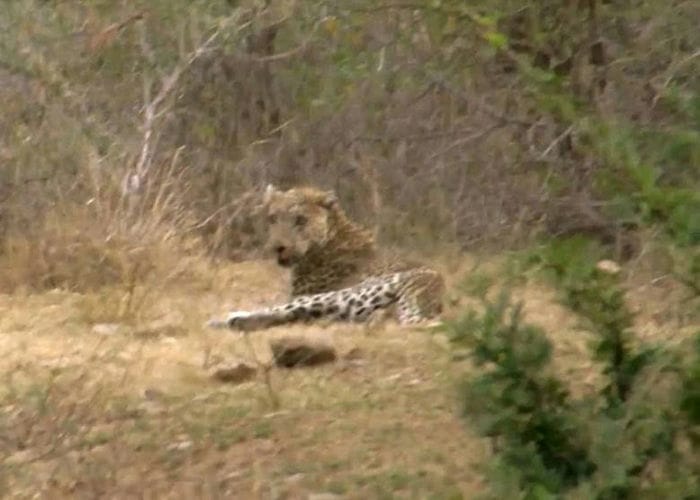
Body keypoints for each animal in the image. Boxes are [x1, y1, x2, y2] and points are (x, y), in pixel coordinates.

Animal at [208, 184, 446, 332]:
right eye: (273, 218)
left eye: (300, 220)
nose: (278, 248)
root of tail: (433, 296)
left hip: (343, 296)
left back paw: (226, 319)